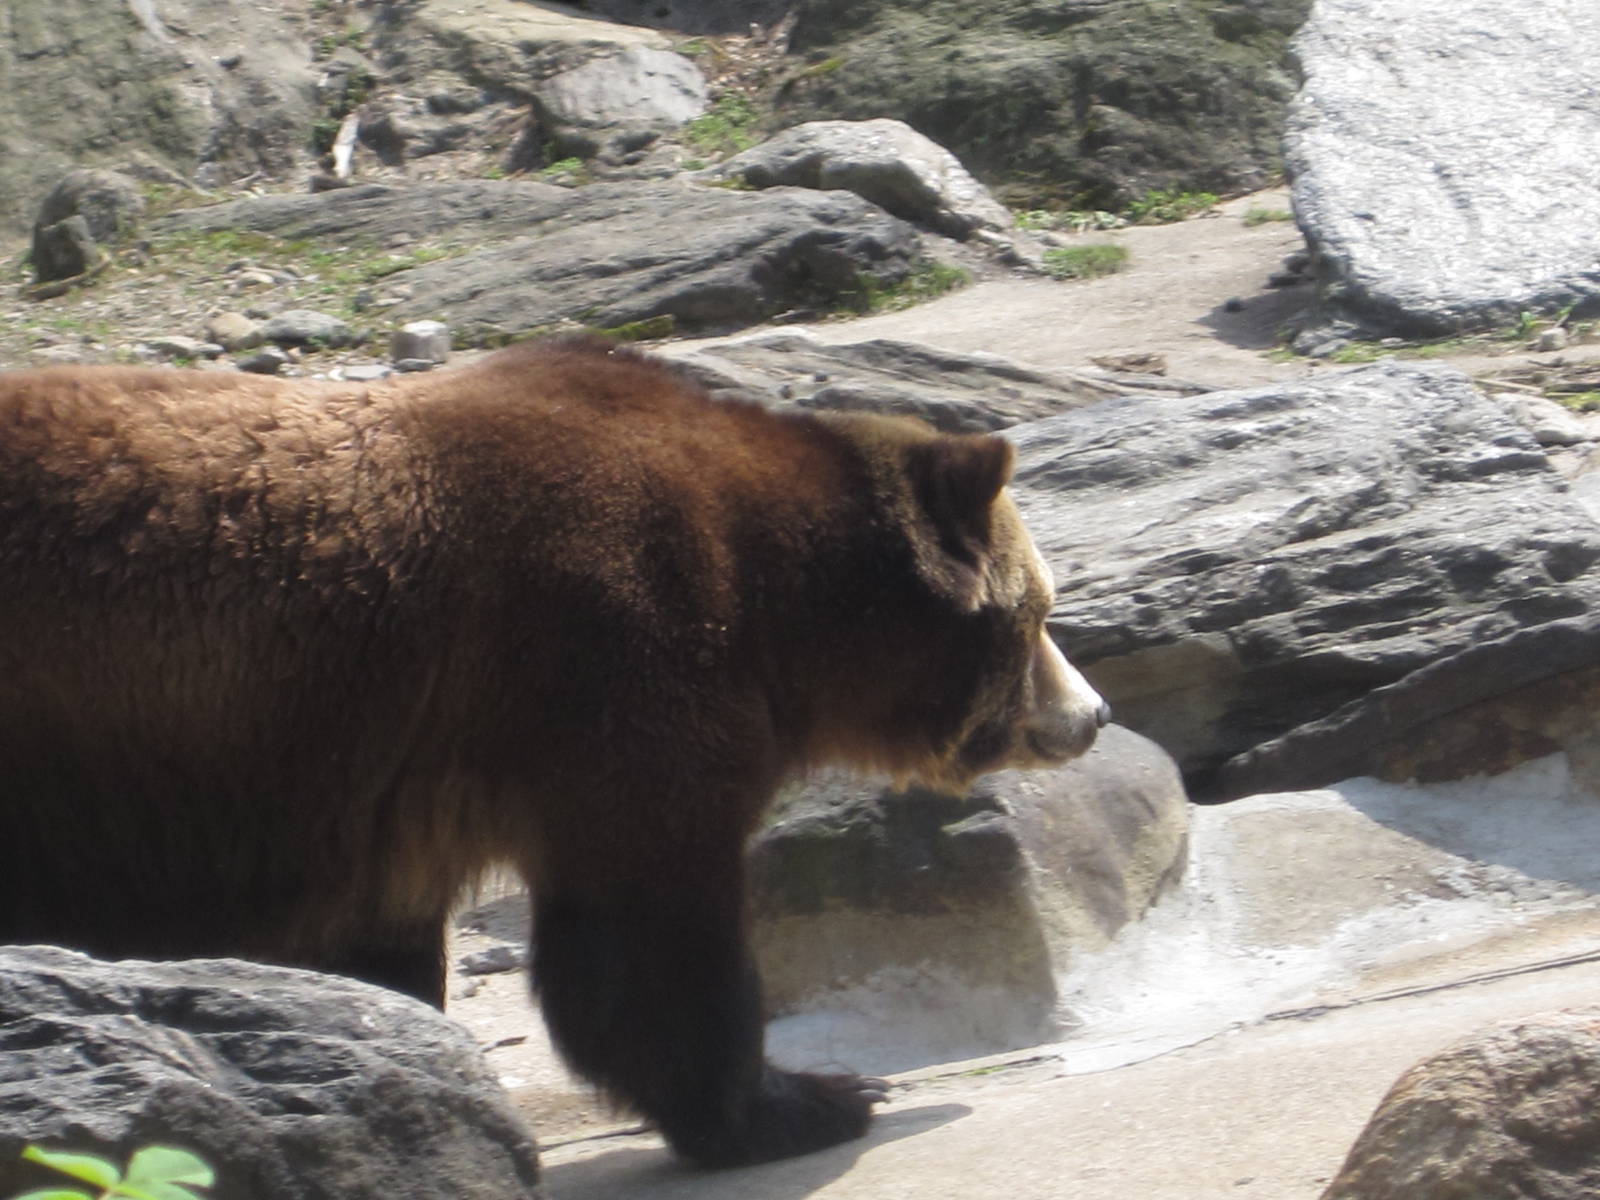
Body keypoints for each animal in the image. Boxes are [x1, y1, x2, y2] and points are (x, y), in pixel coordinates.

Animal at [0, 335, 1108, 1166]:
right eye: (1039, 615)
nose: (1089, 715)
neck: (779, 598)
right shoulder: (609, 645)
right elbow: (650, 922)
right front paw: (806, 1097)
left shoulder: (378, 782)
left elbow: (377, 949)